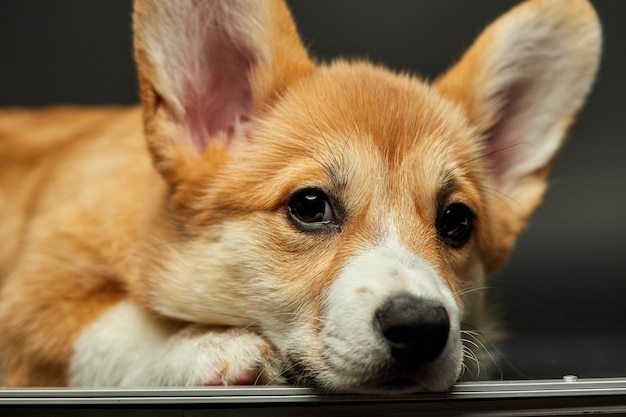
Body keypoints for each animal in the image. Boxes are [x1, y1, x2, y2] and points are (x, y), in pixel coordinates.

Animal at [0, 0, 600, 392]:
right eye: (310, 206)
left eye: (457, 222)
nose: (420, 327)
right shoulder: (30, 303)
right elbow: (110, 331)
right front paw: (208, 346)